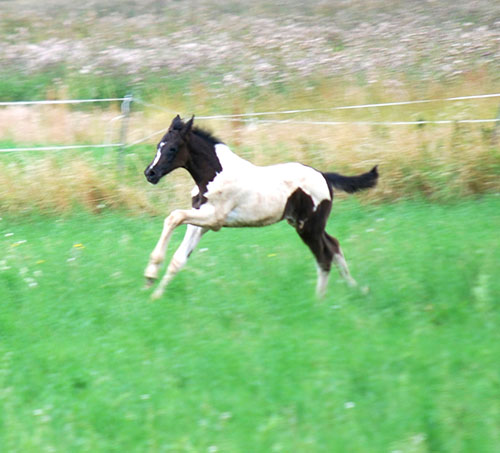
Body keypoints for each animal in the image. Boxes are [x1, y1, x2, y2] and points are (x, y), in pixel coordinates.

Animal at [144, 115, 378, 300]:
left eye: (172, 148)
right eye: (158, 145)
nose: (150, 173)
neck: (214, 176)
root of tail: (324, 176)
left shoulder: (214, 218)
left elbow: (173, 216)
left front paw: (150, 275)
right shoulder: (200, 222)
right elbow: (178, 259)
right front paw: (154, 295)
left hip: (309, 227)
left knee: (324, 256)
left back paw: (319, 301)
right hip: (307, 224)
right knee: (334, 245)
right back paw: (356, 288)